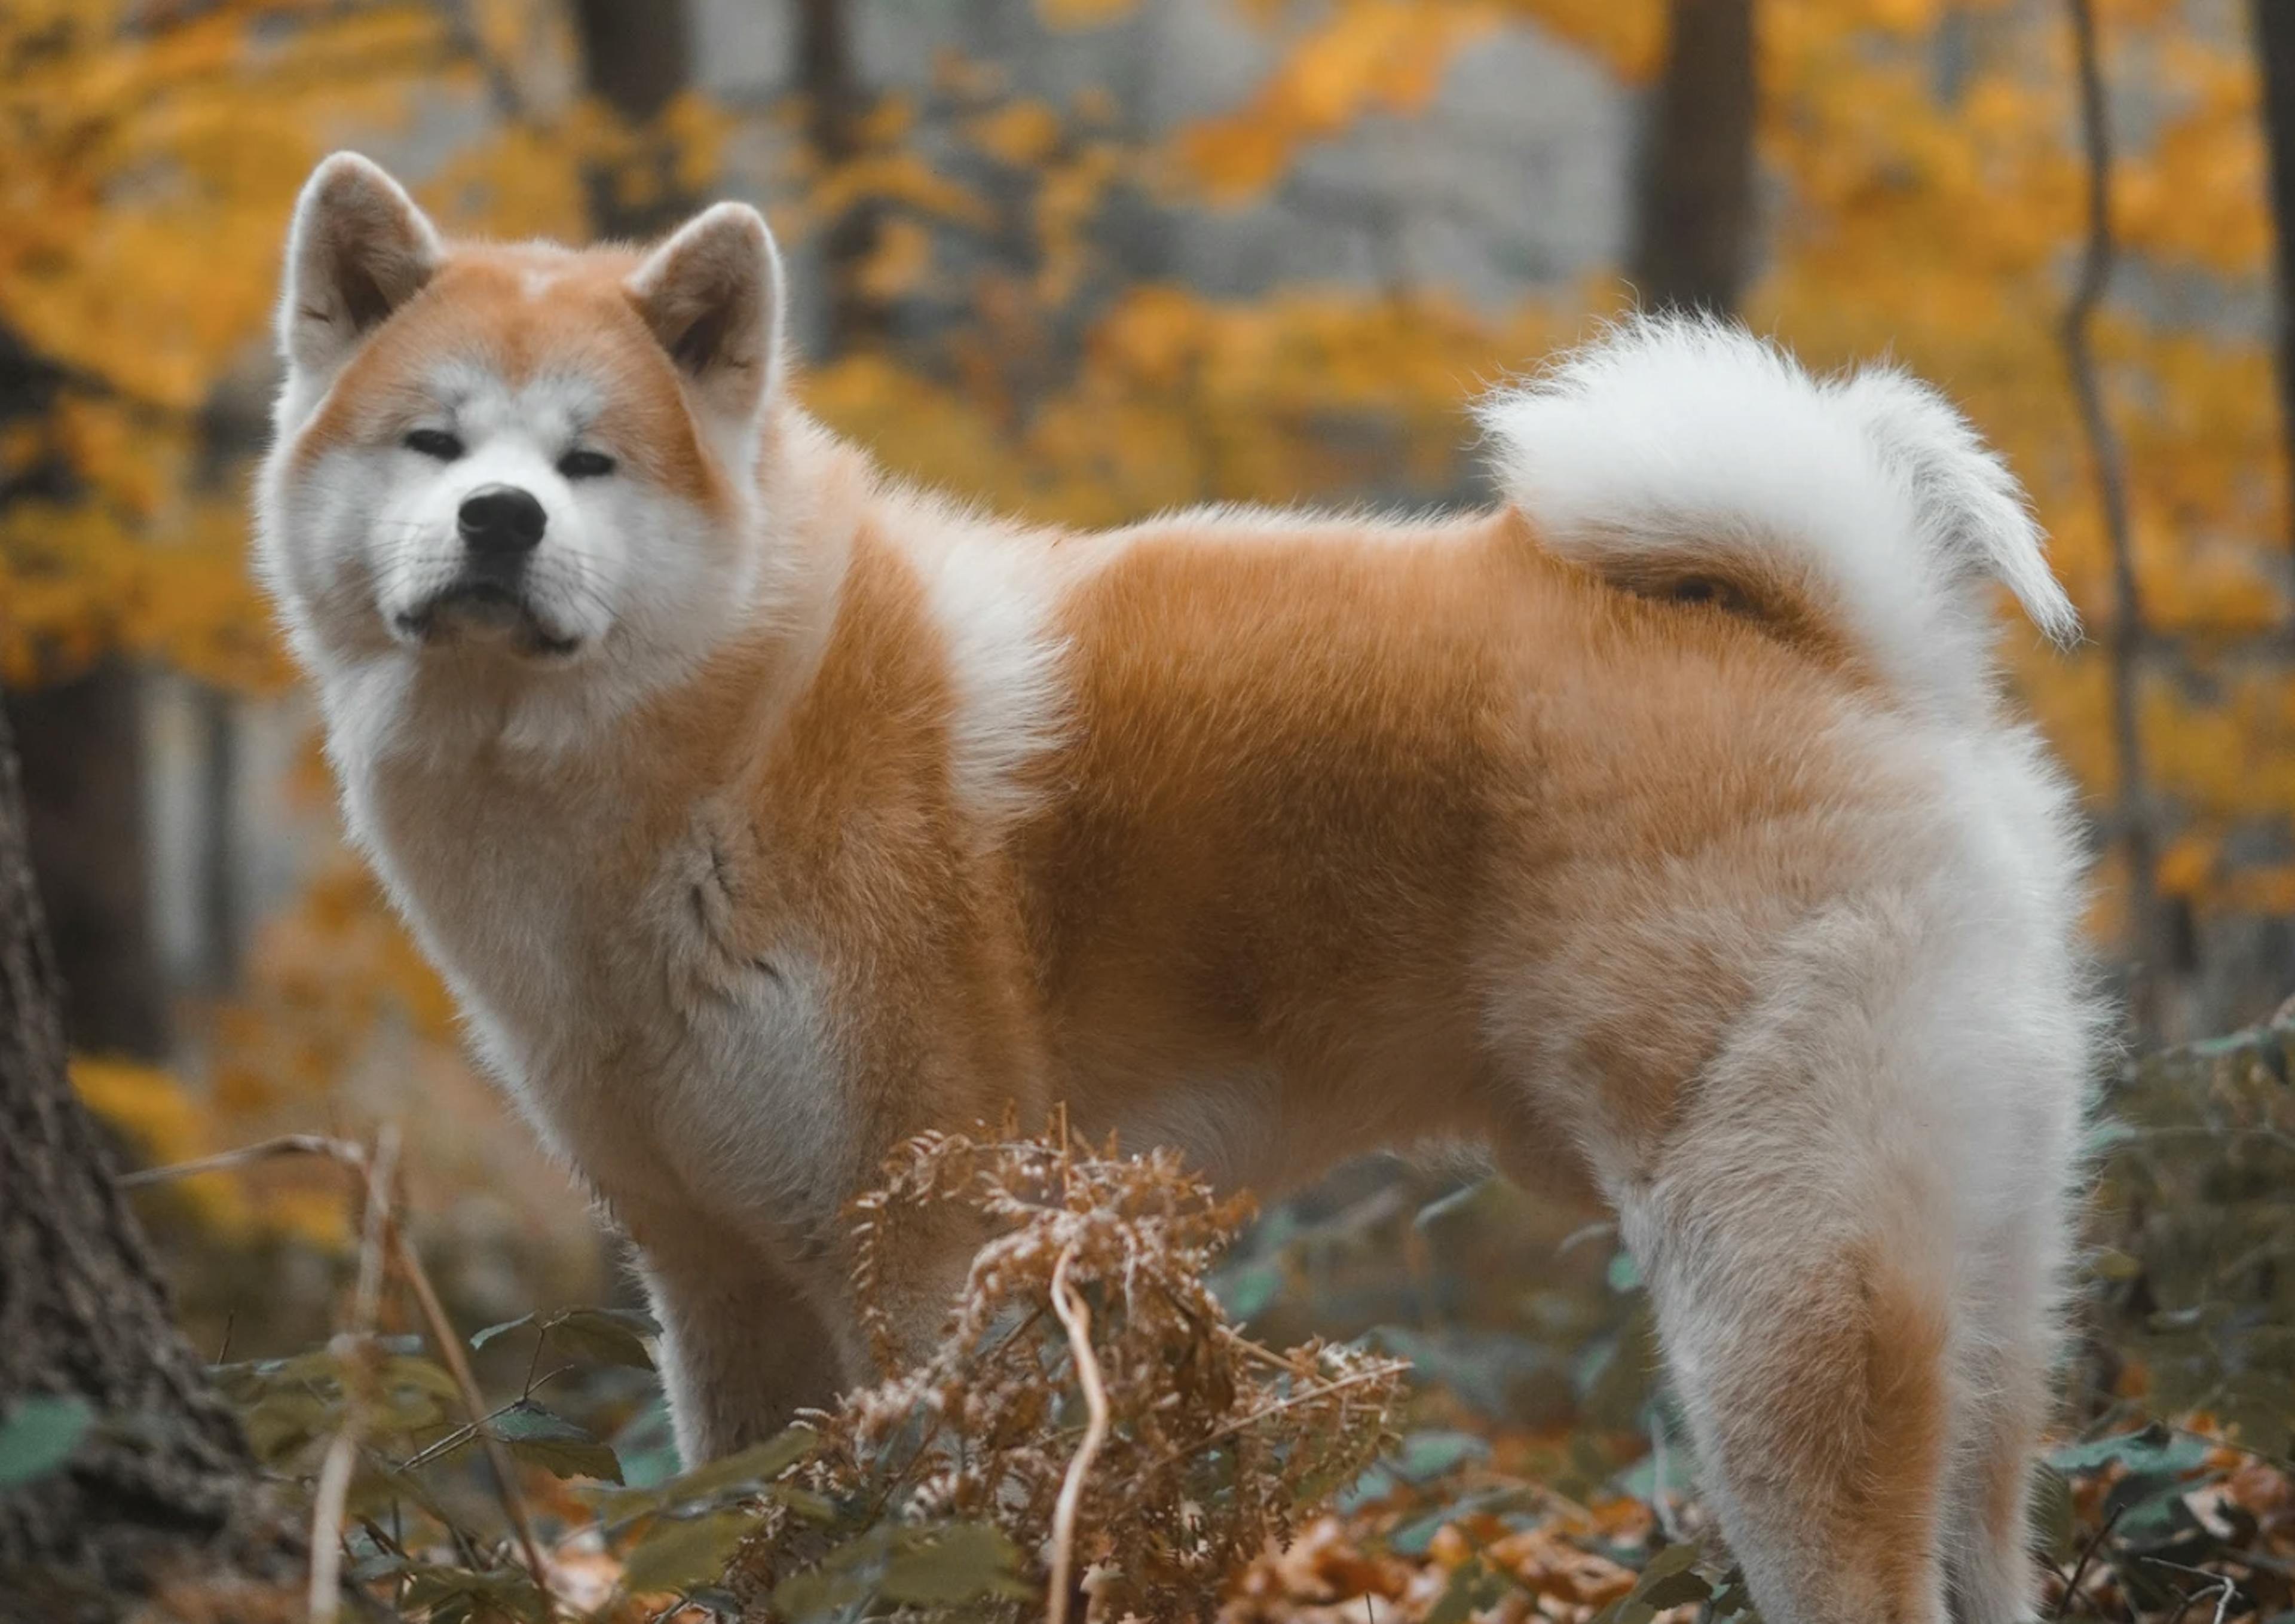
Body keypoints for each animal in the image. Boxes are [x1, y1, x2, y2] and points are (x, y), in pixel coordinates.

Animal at [264, 155, 2102, 1624]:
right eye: (432, 441)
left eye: (593, 464)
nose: (498, 519)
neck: (730, 730)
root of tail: (1861, 652)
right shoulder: (720, 1287)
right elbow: (758, 1536)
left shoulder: (940, 1257)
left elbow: (946, 1526)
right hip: (1977, 1293)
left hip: (1768, 1286)